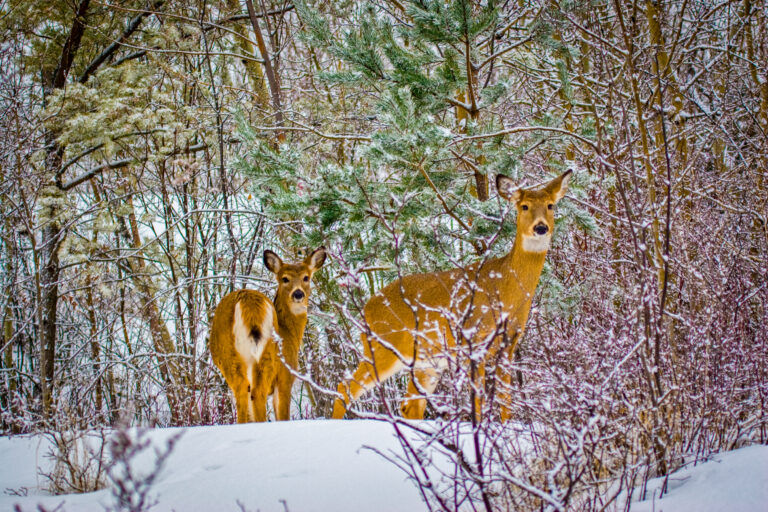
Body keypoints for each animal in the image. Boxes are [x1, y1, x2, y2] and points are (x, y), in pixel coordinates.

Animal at [209, 247, 326, 423]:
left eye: (306, 277)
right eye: (285, 279)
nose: (298, 294)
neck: (289, 334)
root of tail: (247, 301)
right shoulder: (285, 375)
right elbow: (282, 414)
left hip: (227, 354)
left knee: (241, 390)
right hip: (267, 354)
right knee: (257, 393)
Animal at [331, 171, 571, 421]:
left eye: (550, 205)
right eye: (524, 206)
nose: (541, 227)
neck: (504, 289)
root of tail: (366, 308)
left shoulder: (509, 345)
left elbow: (506, 402)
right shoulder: (472, 341)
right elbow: (478, 401)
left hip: (426, 362)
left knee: (410, 406)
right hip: (382, 346)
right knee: (345, 387)